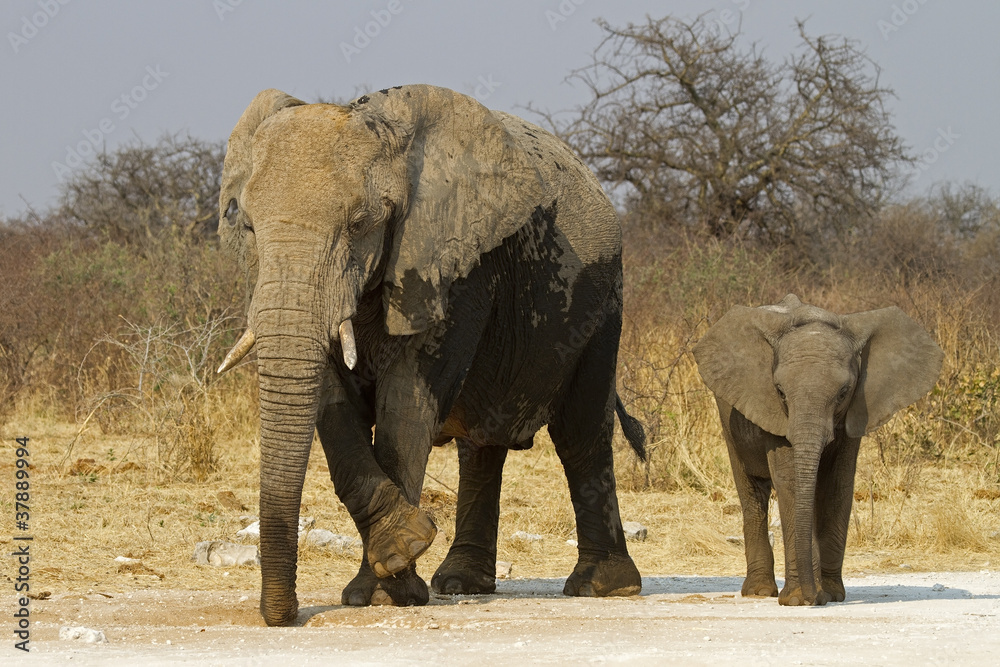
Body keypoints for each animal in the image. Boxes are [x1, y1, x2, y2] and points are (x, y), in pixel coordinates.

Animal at [216, 84, 647, 626]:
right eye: (249, 227)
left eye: (360, 224)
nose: (285, 615)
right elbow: (333, 404)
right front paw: (400, 555)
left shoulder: (453, 269)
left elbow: (405, 404)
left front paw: (387, 586)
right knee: (482, 444)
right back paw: (460, 583)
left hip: (602, 302)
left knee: (581, 432)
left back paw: (603, 587)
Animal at [692, 294, 942, 606]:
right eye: (780, 391)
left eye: (843, 392)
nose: (817, 597)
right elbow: (791, 483)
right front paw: (800, 600)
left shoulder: (853, 414)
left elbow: (835, 485)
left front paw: (832, 594)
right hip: (727, 416)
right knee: (752, 493)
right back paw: (759, 591)